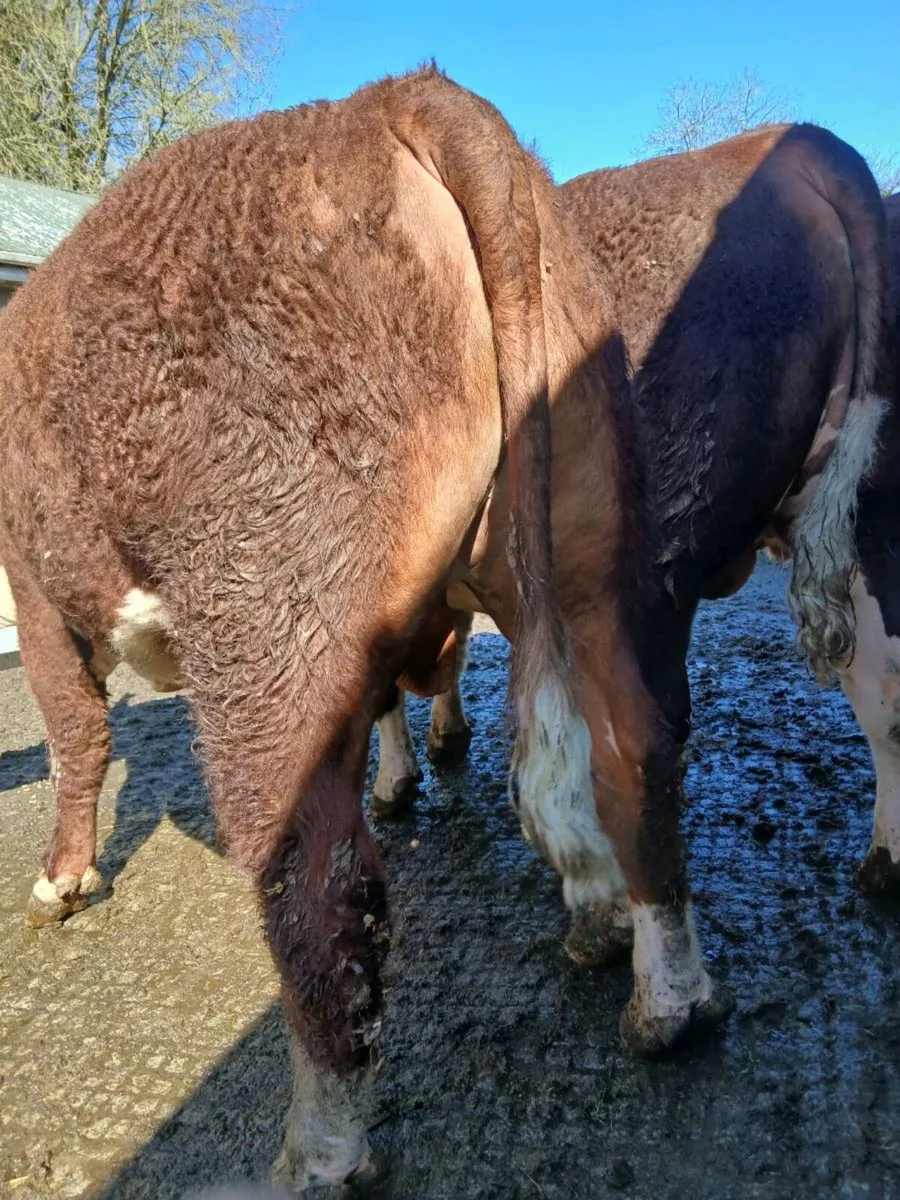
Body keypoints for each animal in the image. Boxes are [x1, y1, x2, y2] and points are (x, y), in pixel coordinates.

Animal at [0, 67, 675, 1190]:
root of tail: (396, 98)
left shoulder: (38, 584)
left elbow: (76, 738)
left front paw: (64, 878)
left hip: (268, 627)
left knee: (327, 899)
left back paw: (316, 1153)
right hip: (589, 549)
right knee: (634, 750)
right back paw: (663, 988)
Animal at [375, 124, 890, 1025]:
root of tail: (800, 144)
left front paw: (398, 778)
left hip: (633, 569)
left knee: (640, 743)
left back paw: (661, 995)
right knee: (882, 690)